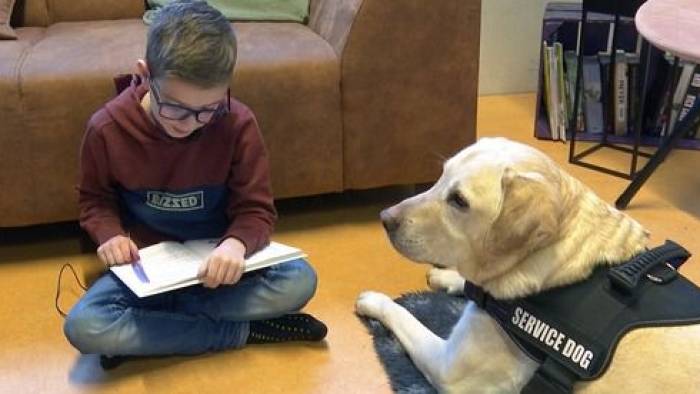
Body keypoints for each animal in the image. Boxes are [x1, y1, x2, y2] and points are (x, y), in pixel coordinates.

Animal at [358, 138, 696, 390]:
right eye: (440, 177)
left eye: (459, 201)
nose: (385, 218)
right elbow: (469, 284)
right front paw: (450, 277)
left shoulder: (448, 368)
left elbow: (403, 314)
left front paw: (374, 300)